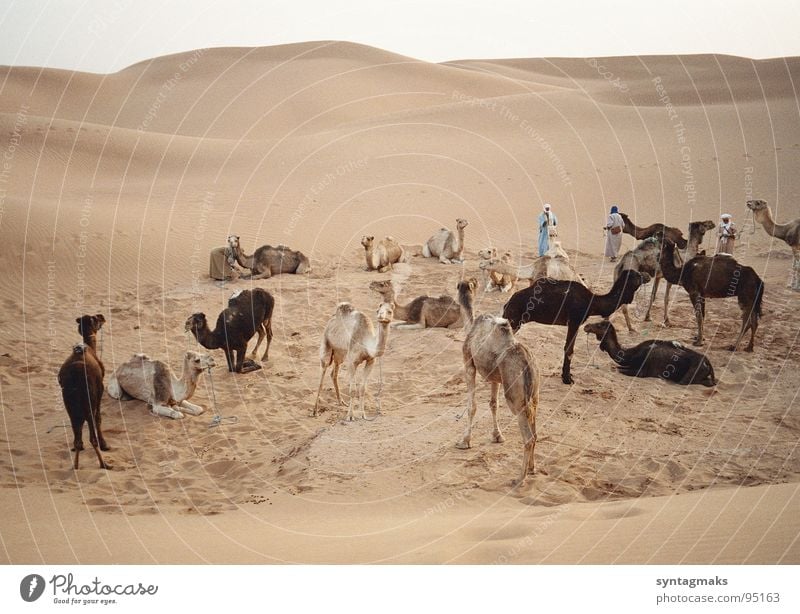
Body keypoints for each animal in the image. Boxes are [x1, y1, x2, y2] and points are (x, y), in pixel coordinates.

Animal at [57, 318, 110, 472]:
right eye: (97, 319)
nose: (102, 316)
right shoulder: (100, 390)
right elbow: (98, 418)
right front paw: (105, 444)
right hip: (88, 402)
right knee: (92, 437)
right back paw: (104, 464)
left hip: (71, 406)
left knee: (78, 438)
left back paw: (75, 465)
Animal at [454, 280, 540, 486]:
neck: (471, 326)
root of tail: (527, 364)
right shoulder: (495, 377)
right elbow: (493, 404)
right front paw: (497, 436)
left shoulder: (468, 362)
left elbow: (472, 406)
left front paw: (464, 441)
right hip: (533, 393)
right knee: (534, 430)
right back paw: (532, 469)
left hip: (516, 395)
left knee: (528, 437)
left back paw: (519, 479)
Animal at [504, 270, 652, 384]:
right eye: (638, 275)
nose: (648, 275)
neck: (593, 302)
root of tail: (508, 302)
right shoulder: (575, 321)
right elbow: (569, 349)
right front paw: (567, 379)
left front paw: (567, 376)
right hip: (514, 320)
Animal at [580, 320, 720, 388]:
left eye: (599, 325)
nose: (586, 326)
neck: (631, 354)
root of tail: (708, 363)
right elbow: (616, 367)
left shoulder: (642, 371)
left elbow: (617, 369)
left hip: (689, 375)